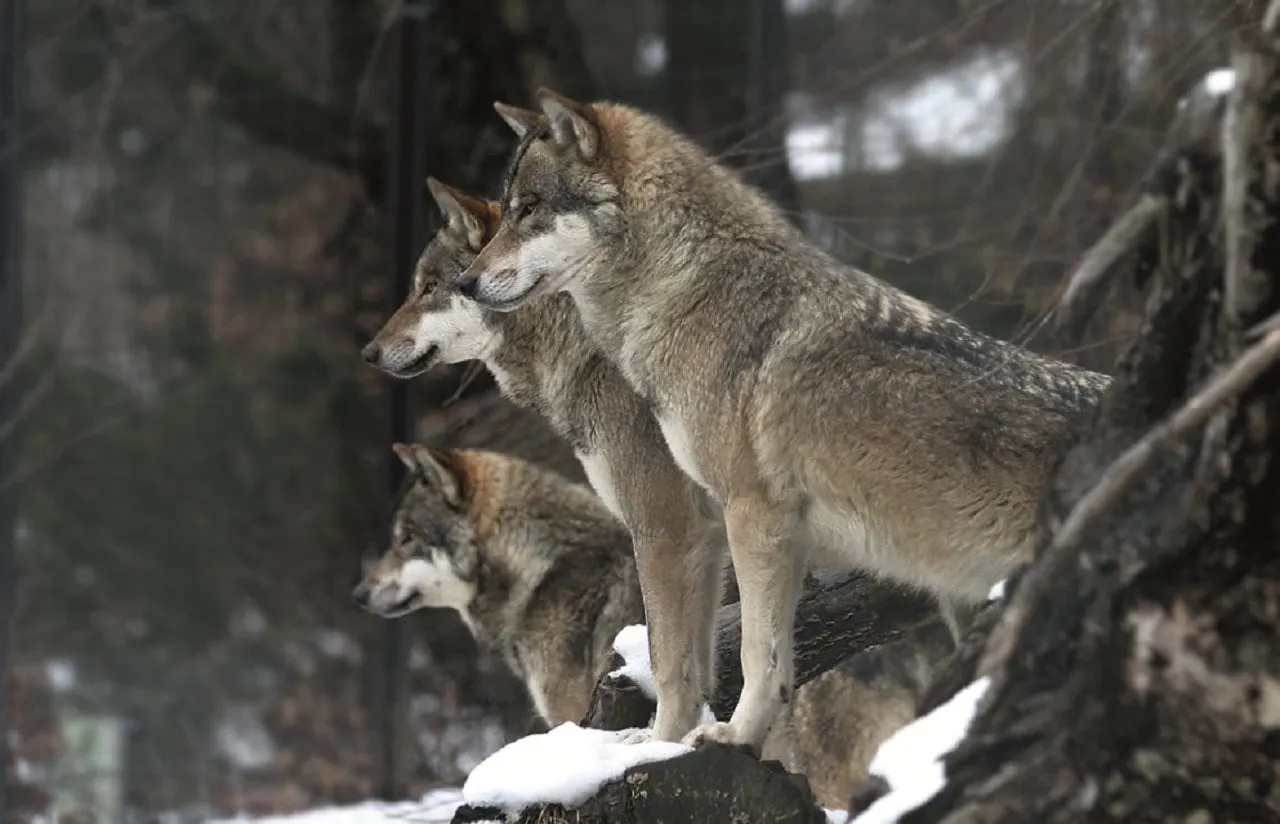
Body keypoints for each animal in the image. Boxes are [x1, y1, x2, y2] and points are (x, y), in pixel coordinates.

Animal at [452, 89, 1114, 753]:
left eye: (529, 209)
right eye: (507, 211)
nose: (465, 281)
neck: (686, 288)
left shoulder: (747, 515)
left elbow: (744, 654)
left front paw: (725, 735)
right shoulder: (752, 536)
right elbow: (736, 660)